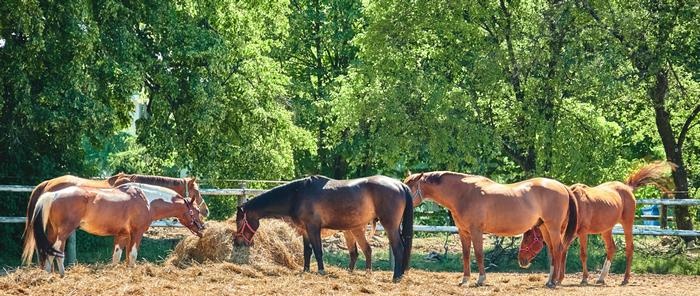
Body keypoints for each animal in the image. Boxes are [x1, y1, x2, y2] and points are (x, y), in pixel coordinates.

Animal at [21, 173, 208, 266]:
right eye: (195, 210)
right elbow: (132, 256)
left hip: (51, 231)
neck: (146, 198)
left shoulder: (122, 235)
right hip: (62, 232)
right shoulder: (136, 233)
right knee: (53, 252)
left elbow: (117, 258)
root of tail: (49, 190)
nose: (203, 225)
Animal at [232, 176, 412, 282]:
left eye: (239, 222)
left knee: (398, 248)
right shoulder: (305, 230)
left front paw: (321, 271)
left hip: (390, 226)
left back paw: (396, 277)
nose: (237, 242)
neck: (297, 195)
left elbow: (318, 251)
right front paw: (306, 270)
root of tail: (399, 184)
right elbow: (307, 251)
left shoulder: (313, 228)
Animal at [402, 171, 576, 286]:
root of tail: (563, 187)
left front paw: (481, 279)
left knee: (559, 249)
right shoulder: (463, 232)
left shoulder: (476, 232)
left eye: (409, 187)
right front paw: (465, 280)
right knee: (553, 251)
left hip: (553, 228)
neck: (463, 194)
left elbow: (479, 254)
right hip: (545, 228)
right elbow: (466, 255)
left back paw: (555, 281)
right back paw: (550, 280)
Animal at [516, 161, 676, 286]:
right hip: (606, 230)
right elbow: (563, 252)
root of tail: (627, 188)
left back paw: (625, 279)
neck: (573, 205)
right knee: (611, 248)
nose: (521, 260)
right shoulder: (570, 234)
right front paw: (559, 279)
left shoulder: (582, 233)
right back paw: (601, 278)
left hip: (627, 224)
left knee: (629, 248)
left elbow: (582, 254)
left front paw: (584, 278)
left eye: (529, 238)